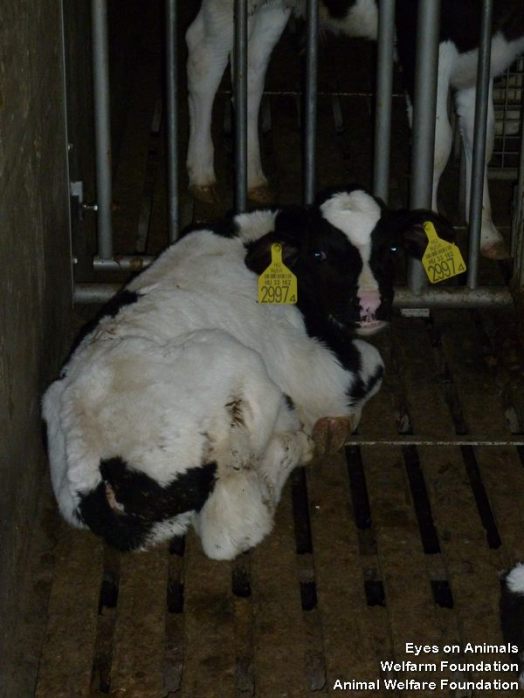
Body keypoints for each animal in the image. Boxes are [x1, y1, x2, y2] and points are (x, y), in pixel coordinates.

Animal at [42, 186, 455, 559]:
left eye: (393, 249)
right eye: (319, 253)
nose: (370, 306)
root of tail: (100, 471)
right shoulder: (323, 374)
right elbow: (373, 369)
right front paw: (337, 423)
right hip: (240, 379)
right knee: (233, 528)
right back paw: (298, 444)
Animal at [186, 0, 524, 259]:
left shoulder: (482, 57)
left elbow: (483, 139)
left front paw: (486, 232)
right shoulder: (422, 43)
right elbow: (437, 144)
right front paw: (431, 235)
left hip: (272, 9)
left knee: (251, 68)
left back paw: (254, 176)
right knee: (203, 55)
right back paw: (202, 175)